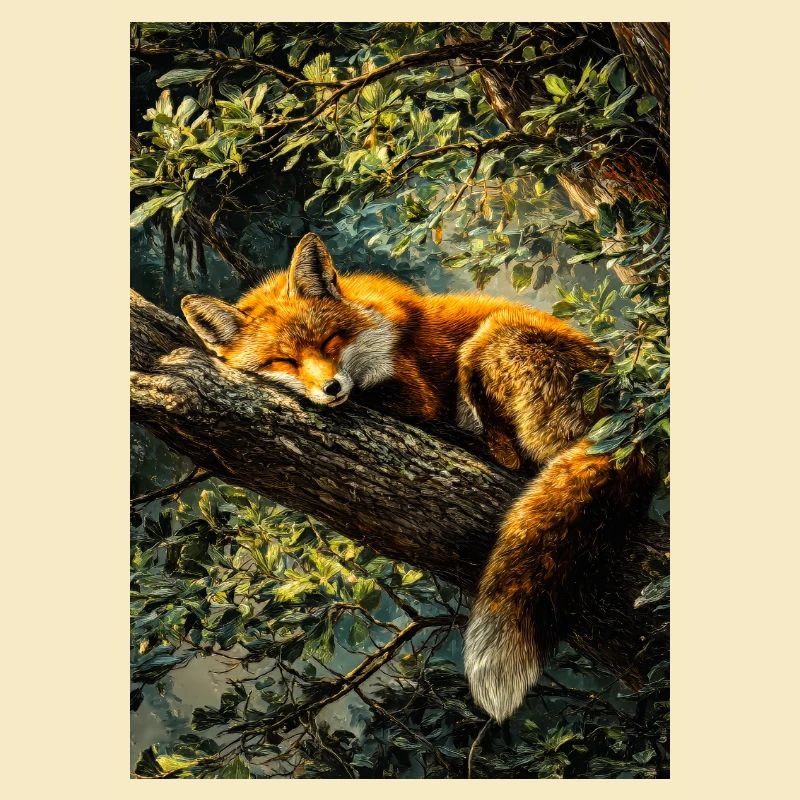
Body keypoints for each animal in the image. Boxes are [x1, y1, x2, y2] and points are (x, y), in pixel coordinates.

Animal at [181, 232, 652, 722]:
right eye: (283, 360)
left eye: (330, 340)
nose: (331, 388)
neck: (373, 330)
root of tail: (631, 423)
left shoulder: (415, 393)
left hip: (492, 338)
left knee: (513, 458)